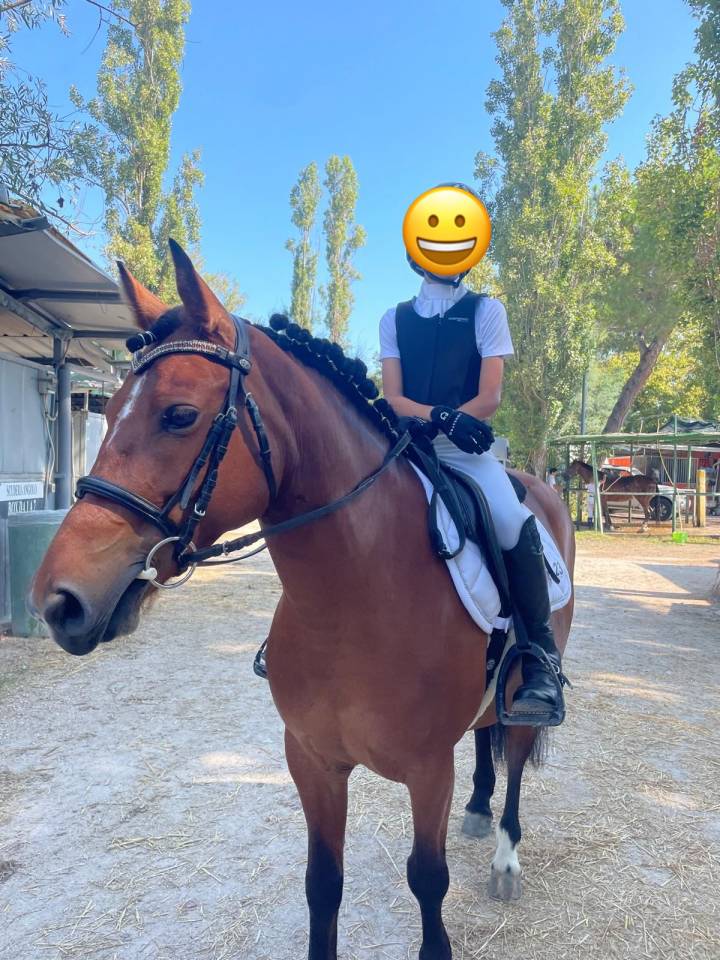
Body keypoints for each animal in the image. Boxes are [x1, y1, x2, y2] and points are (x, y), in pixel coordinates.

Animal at [30, 241, 575, 960]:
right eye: (110, 406)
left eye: (179, 415)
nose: (58, 598)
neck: (354, 600)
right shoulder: (313, 762)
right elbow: (323, 883)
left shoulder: (428, 771)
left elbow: (428, 878)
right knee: (487, 742)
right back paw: (481, 812)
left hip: (525, 684)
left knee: (513, 751)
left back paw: (506, 853)